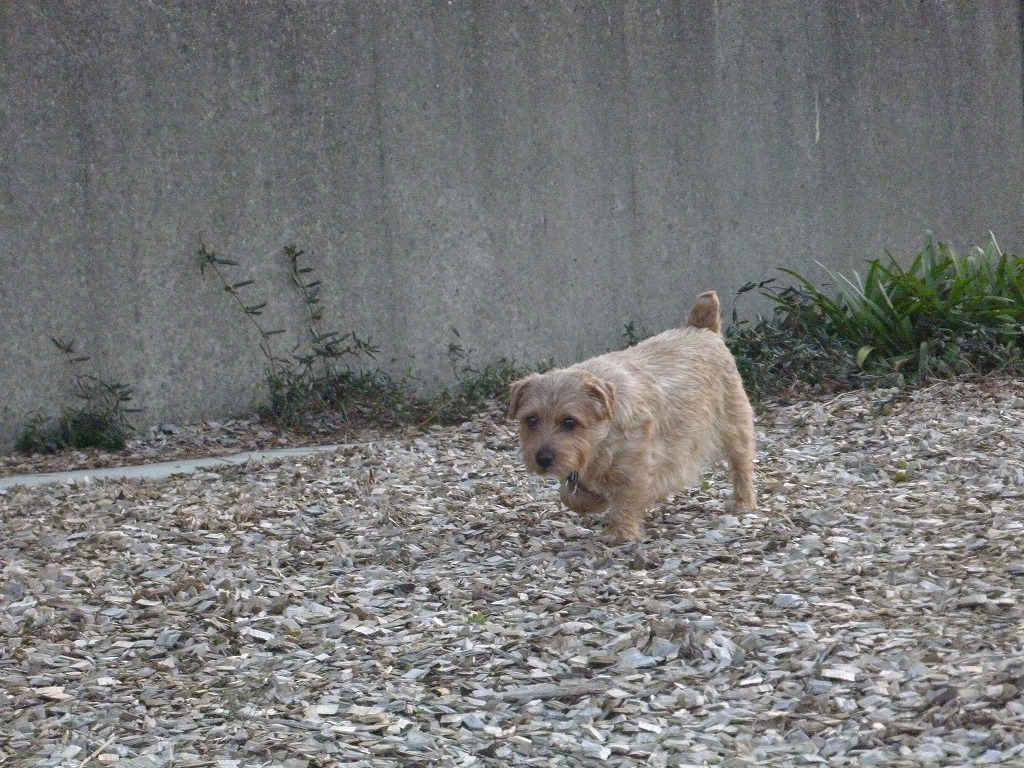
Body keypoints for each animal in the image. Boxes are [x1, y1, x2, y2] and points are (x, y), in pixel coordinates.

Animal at [508, 291, 756, 543]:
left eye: (570, 422)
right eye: (531, 420)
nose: (543, 458)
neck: (601, 437)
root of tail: (701, 329)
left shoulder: (637, 466)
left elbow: (626, 498)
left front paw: (620, 532)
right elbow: (571, 496)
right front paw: (595, 501)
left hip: (735, 425)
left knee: (741, 464)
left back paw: (743, 500)